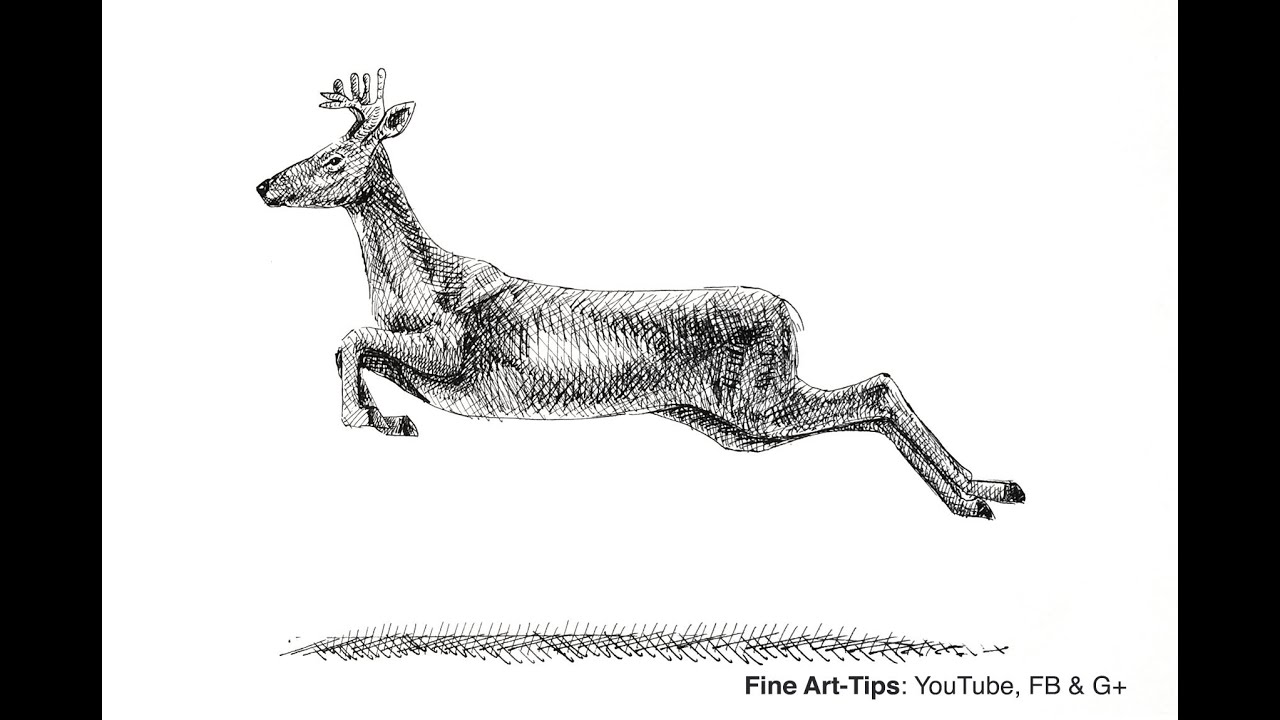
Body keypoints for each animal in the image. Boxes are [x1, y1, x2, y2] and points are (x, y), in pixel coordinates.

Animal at [256, 69, 1024, 519]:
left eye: (335, 159)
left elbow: (350, 337)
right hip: (738, 425)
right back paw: (988, 490)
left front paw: (368, 418)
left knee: (879, 388)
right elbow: (355, 344)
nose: (265, 185)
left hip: (757, 398)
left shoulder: (457, 352)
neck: (416, 289)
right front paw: (385, 417)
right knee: (866, 406)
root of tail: (792, 316)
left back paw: (977, 497)